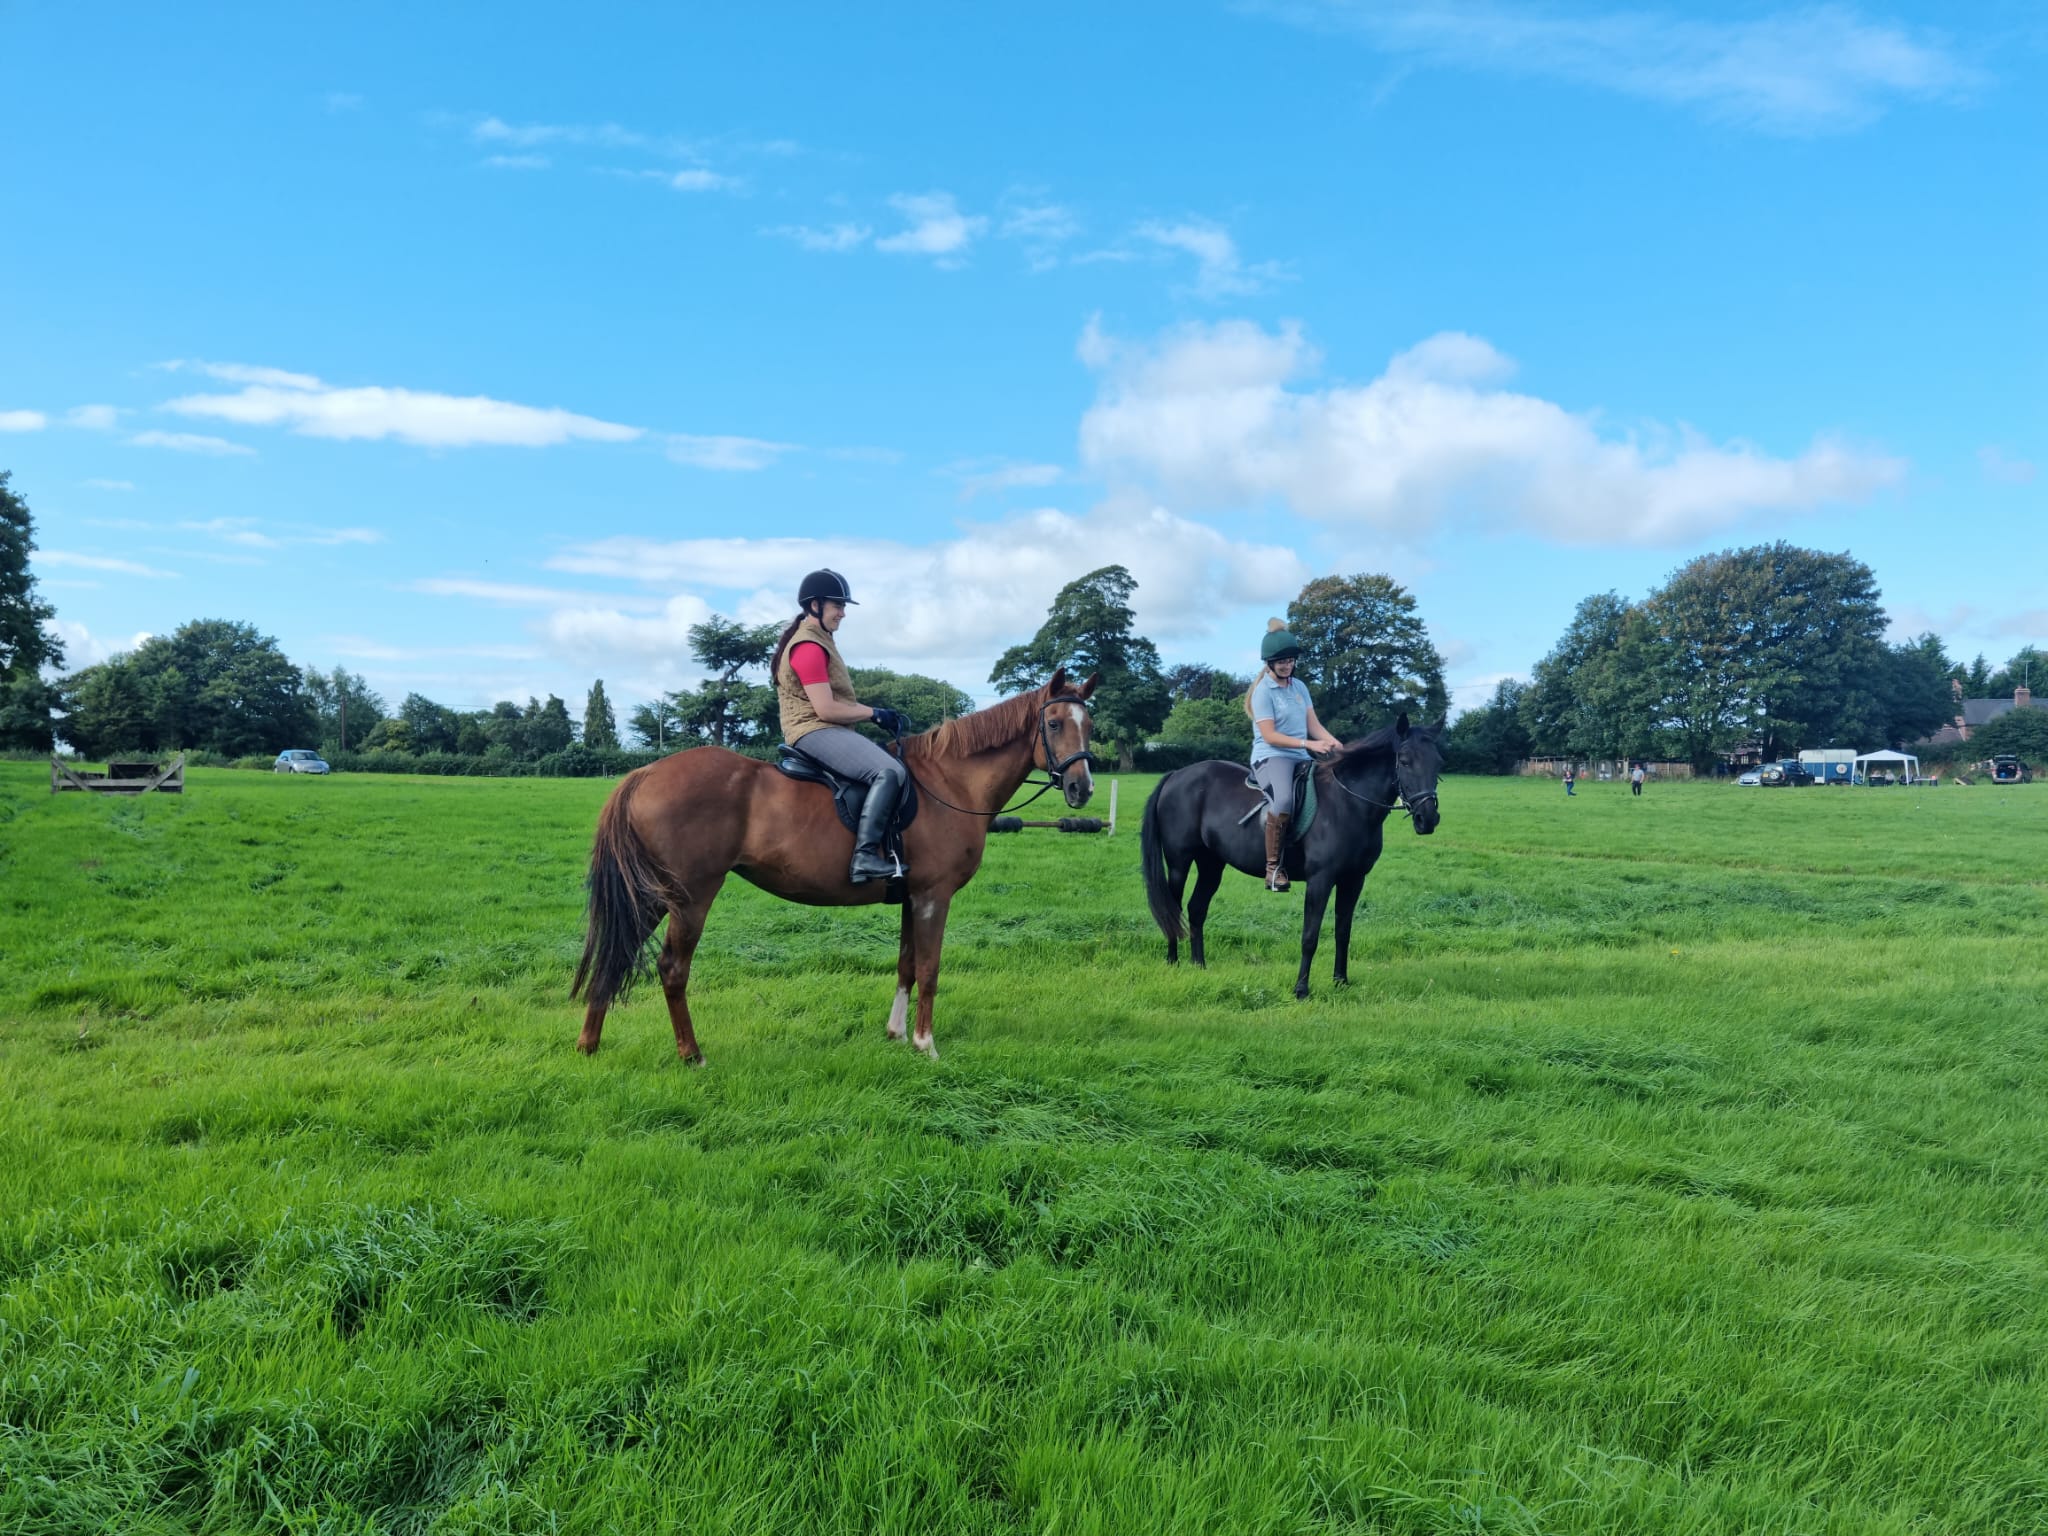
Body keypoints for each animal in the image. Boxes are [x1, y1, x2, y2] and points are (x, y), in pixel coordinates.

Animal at [569, 671, 1097, 1073]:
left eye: (1088, 724)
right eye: (1053, 723)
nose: (1082, 788)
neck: (949, 783)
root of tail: (644, 773)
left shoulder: (911, 897)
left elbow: (906, 964)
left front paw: (896, 1034)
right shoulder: (934, 896)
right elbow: (929, 968)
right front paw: (926, 1044)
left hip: (652, 895)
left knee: (616, 952)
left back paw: (588, 1045)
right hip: (690, 896)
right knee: (672, 969)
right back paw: (691, 1055)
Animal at [1146, 720, 1449, 999]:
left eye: (1438, 763)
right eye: (1405, 761)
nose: (1428, 819)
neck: (1348, 803)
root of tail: (1176, 775)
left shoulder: (1353, 880)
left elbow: (1343, 932)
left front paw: (1341, 981)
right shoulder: (1320, 879)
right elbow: (1310, 936)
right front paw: (1301, 989)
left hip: (1211, 864)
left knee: (1196, 909)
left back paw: (1199, 965)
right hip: (1179, 862)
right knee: (1173, 908)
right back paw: (1173, 961)